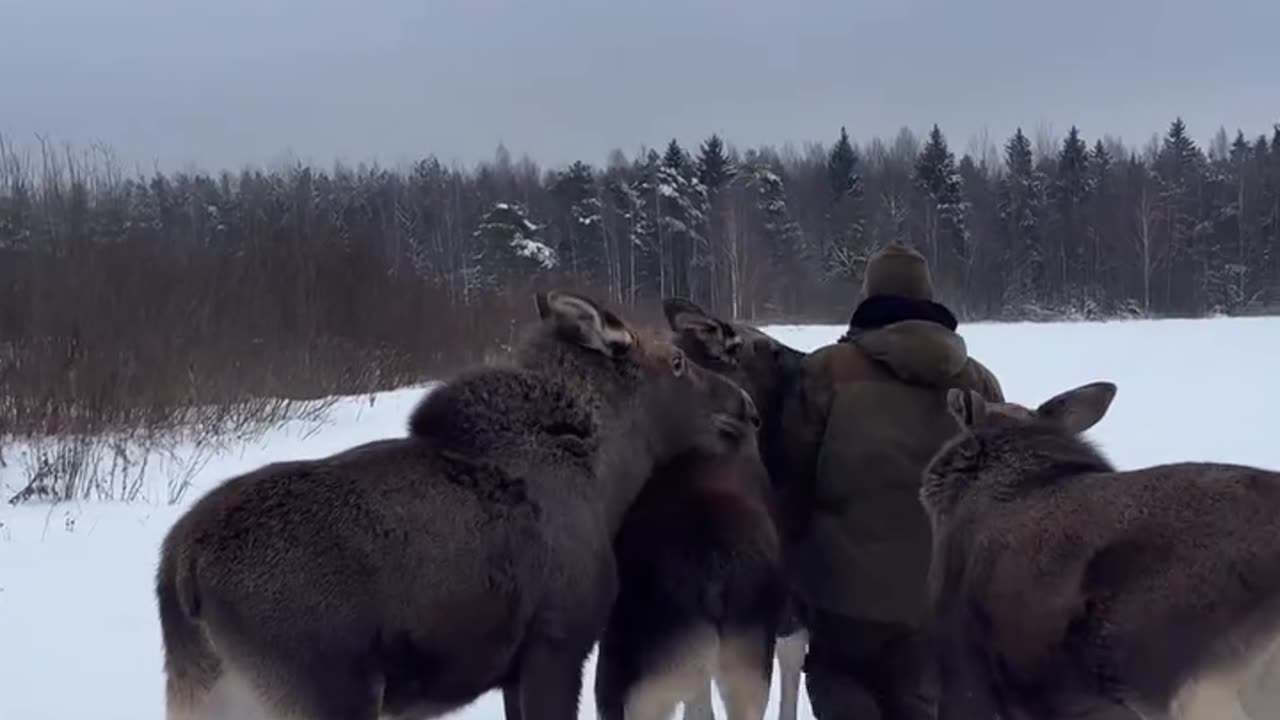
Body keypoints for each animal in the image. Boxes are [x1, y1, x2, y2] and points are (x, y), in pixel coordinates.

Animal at [154, 289, 761, 720]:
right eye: (677, 362)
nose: (746, 406)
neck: (607, 475)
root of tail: (179, 570)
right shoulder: (557, 642)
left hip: (201, 690)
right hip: (322, 689)